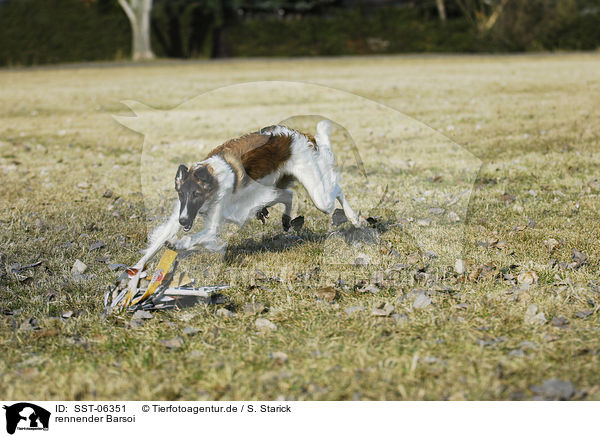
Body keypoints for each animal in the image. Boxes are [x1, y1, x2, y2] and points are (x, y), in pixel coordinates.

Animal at [134, 120, 360, 270]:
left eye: (197, 194)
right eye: (181, 194)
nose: (183, 222)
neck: (213, 173)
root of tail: (301, 136)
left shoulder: (213, 221)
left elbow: (194, 237)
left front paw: (177, 243)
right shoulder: (182, 212)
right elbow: (159, 240)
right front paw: (135, 274)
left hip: (319, 196)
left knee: (336, 190)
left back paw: (353, 218)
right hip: (276, 185)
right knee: (288, 194)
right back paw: (287, 219)